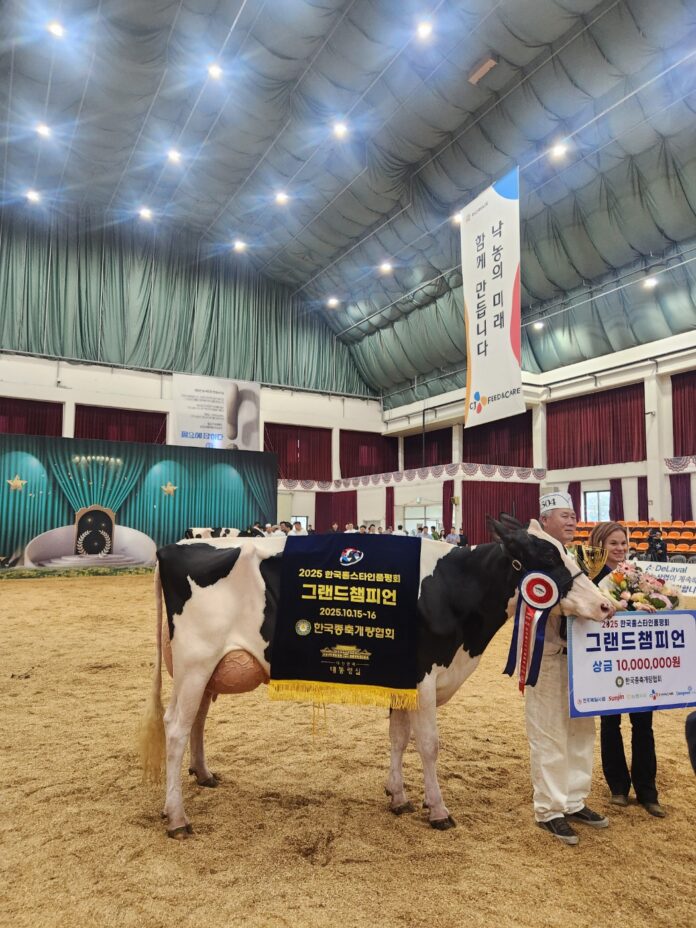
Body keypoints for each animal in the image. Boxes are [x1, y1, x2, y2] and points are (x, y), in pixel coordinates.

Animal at [139, 518, 615, 838]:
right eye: (547, 556)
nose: (606, 606)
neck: (452, 588)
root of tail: (172, 547)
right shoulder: (424, 677)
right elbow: (428, 745)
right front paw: (437, 809)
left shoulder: (403, 680)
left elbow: (398, 737)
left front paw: (398, 795)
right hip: (195, 661)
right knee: (176, 727)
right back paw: (177, 817)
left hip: (206, 670)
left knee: (197, 720)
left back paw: (203, 774)